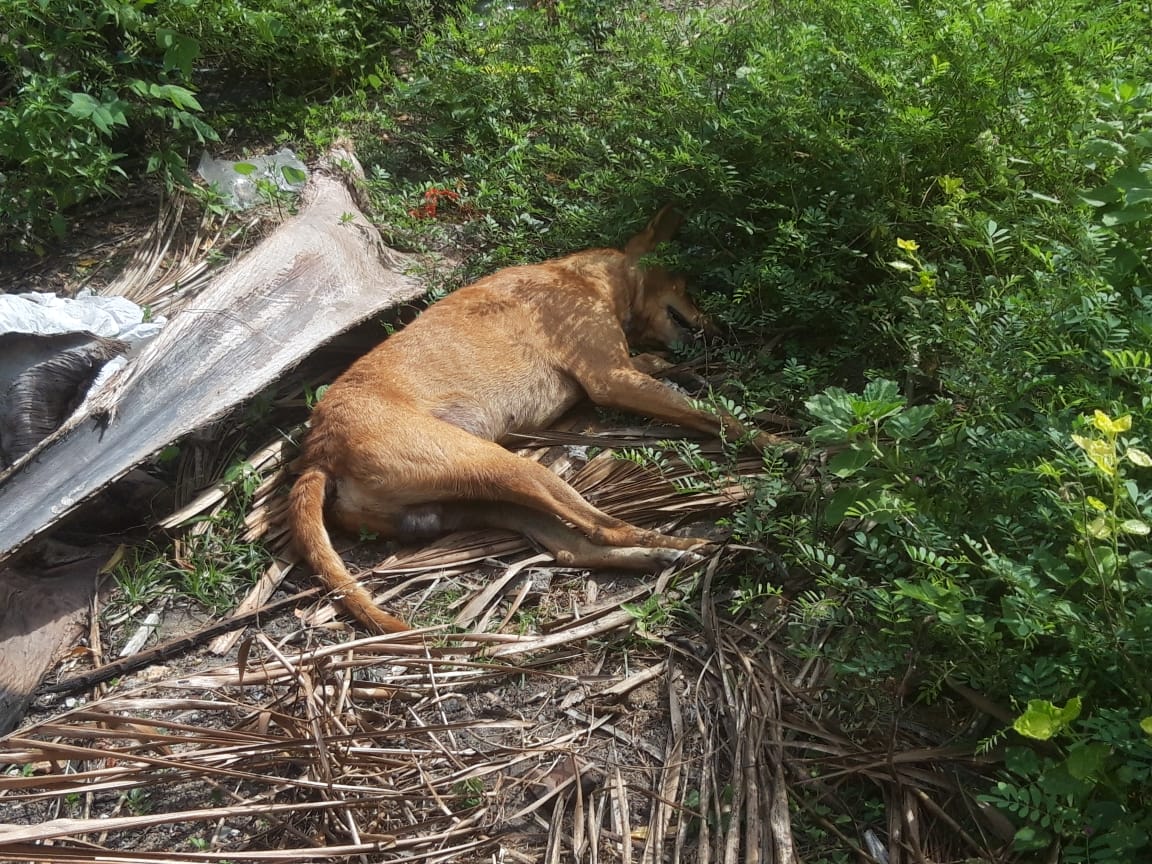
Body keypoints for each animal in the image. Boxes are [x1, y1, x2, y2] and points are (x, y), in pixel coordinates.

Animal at [292, 206, 787, 631]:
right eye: (683, 285)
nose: (720, 331)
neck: (585, 276)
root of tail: (319, 452)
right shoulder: (611, 380)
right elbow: (718, 416)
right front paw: (782, 445)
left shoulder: (624, 371)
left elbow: (662, 372)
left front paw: (678, 370)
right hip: (509, 467)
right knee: (604, 526)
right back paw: (694, 547)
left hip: (481, 501)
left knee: (571, 549)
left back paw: (659, 558)